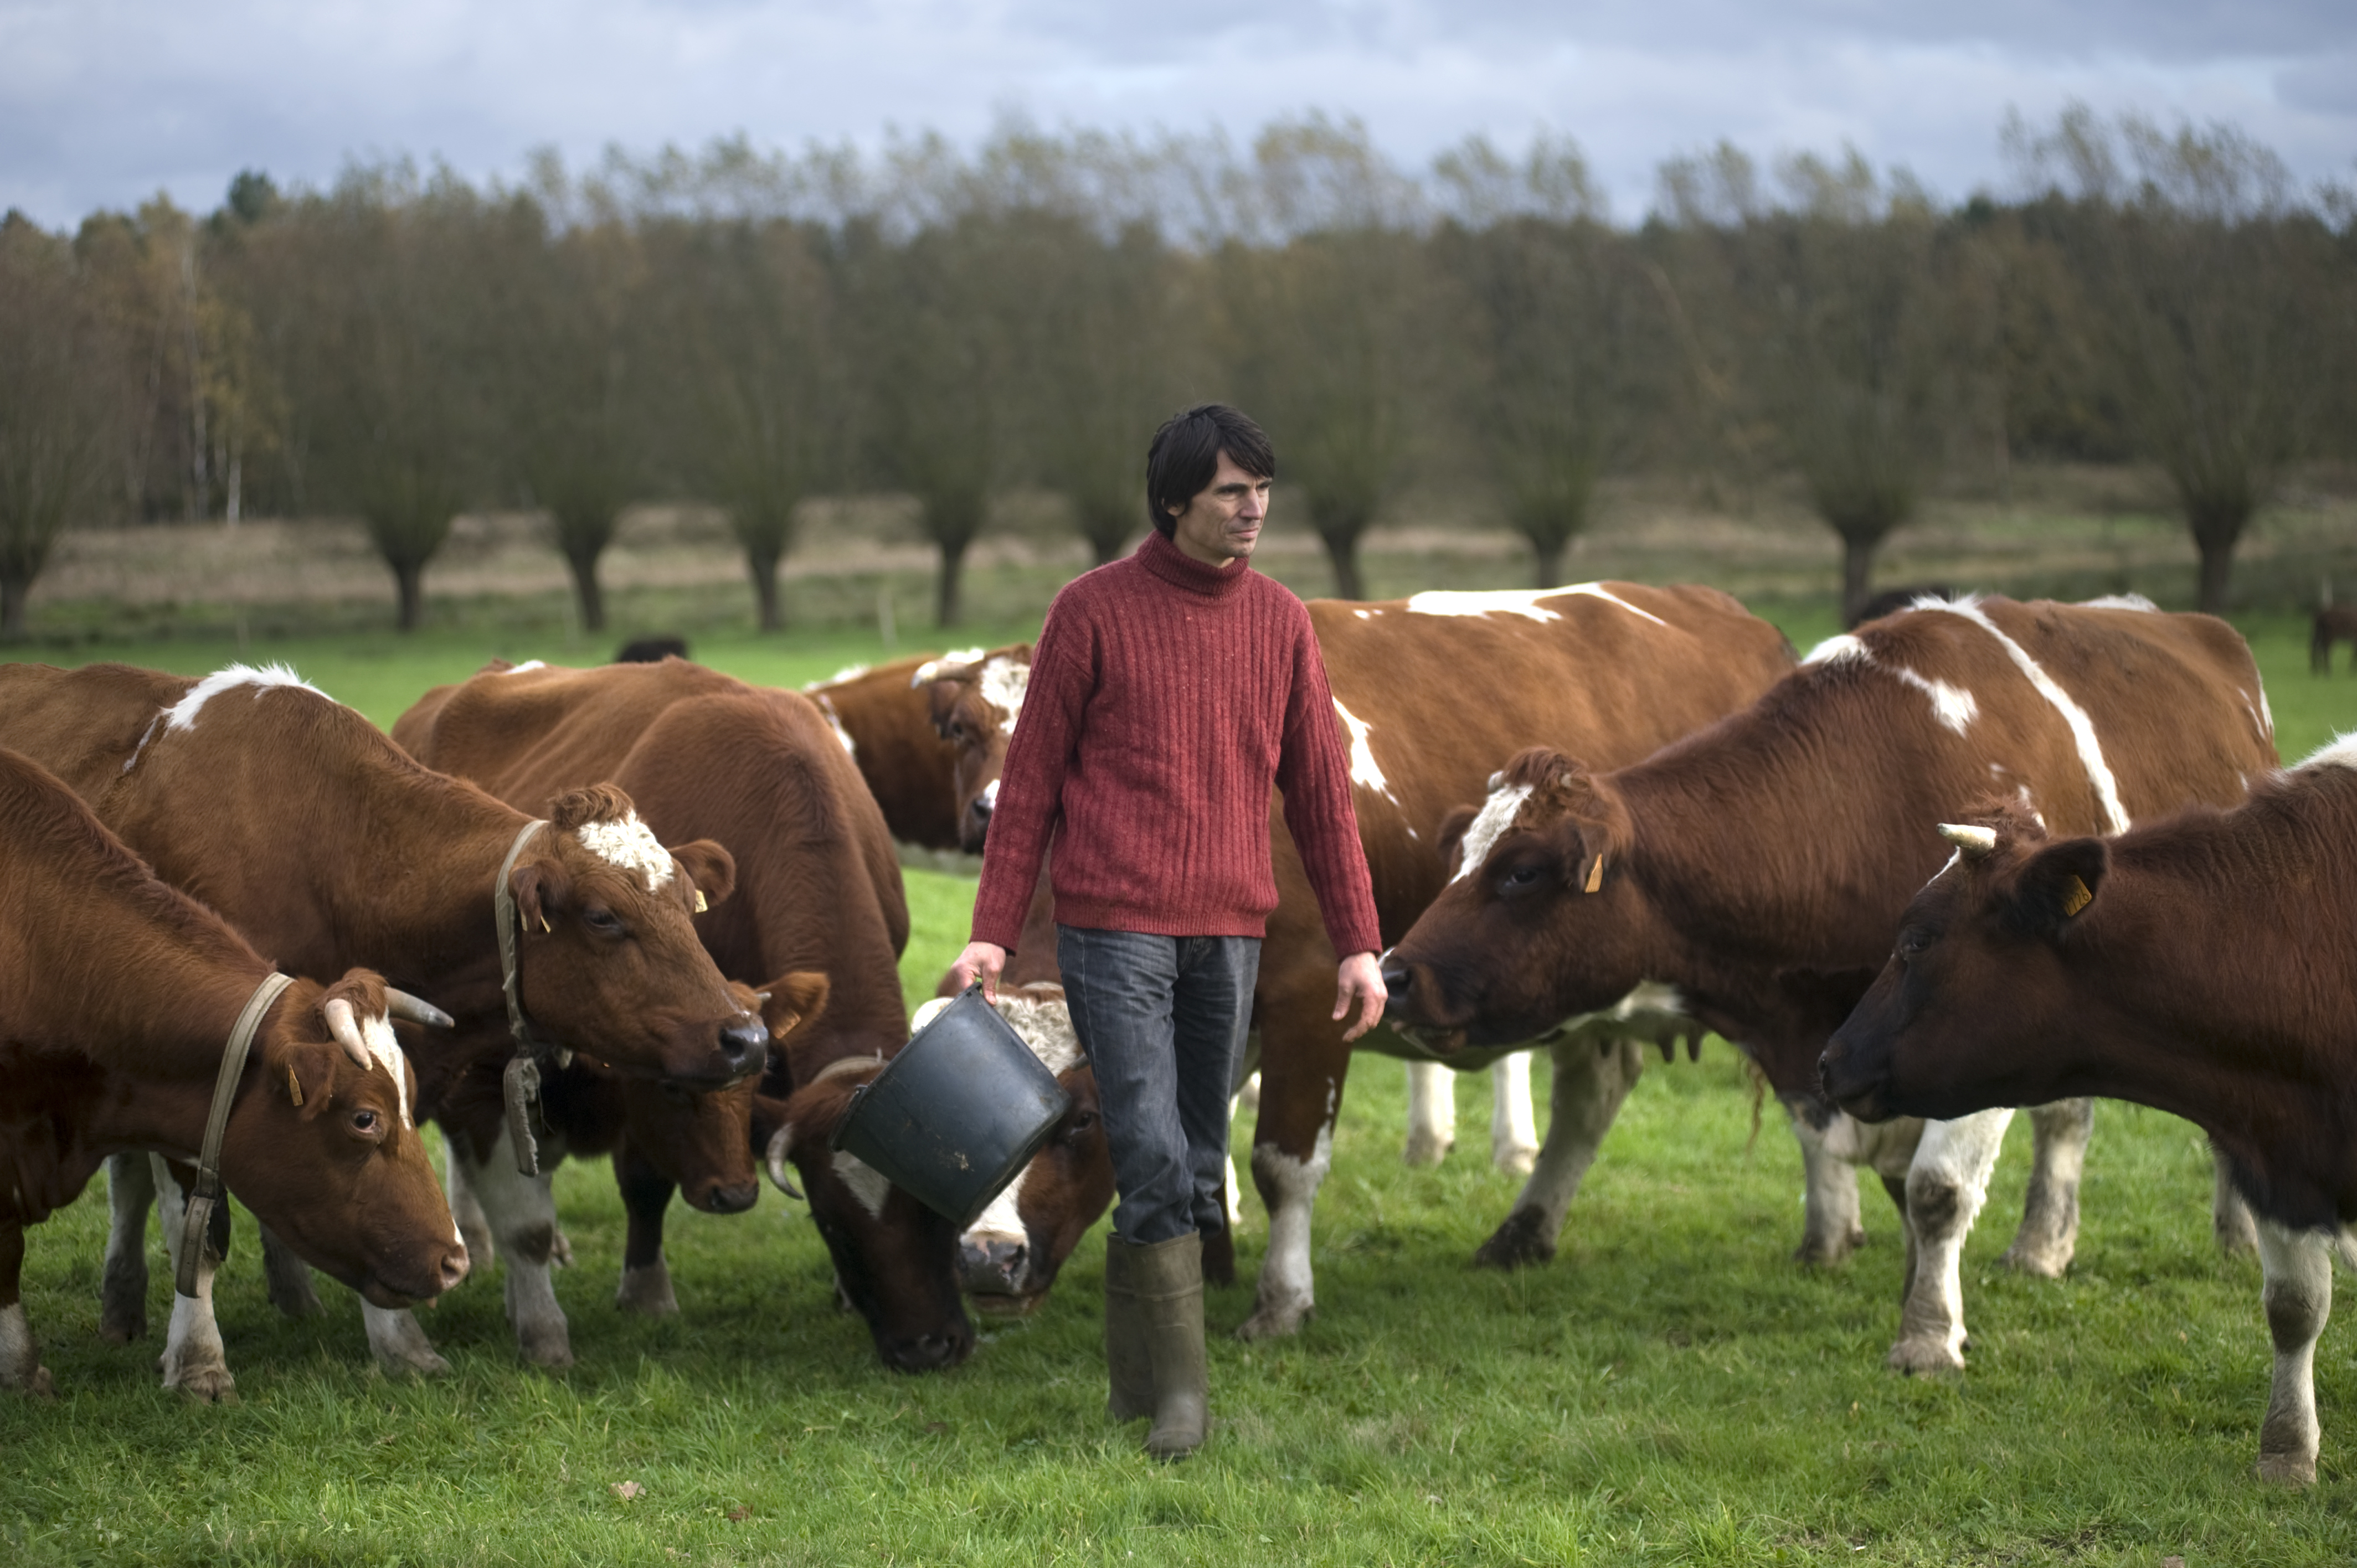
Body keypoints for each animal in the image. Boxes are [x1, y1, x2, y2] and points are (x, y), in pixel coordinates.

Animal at [1386, 594, 2272, 1368]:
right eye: (1462, 856)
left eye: (1521, 871)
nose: (1396, 971)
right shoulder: (1840, 1052)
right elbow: (1892, 1182)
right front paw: (1918, 1292)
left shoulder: (1966, 1037)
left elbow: (1936, 1190)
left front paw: (1926, 1337)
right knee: (2064, 1117)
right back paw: (2041, 1246)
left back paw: (2236, 1236)